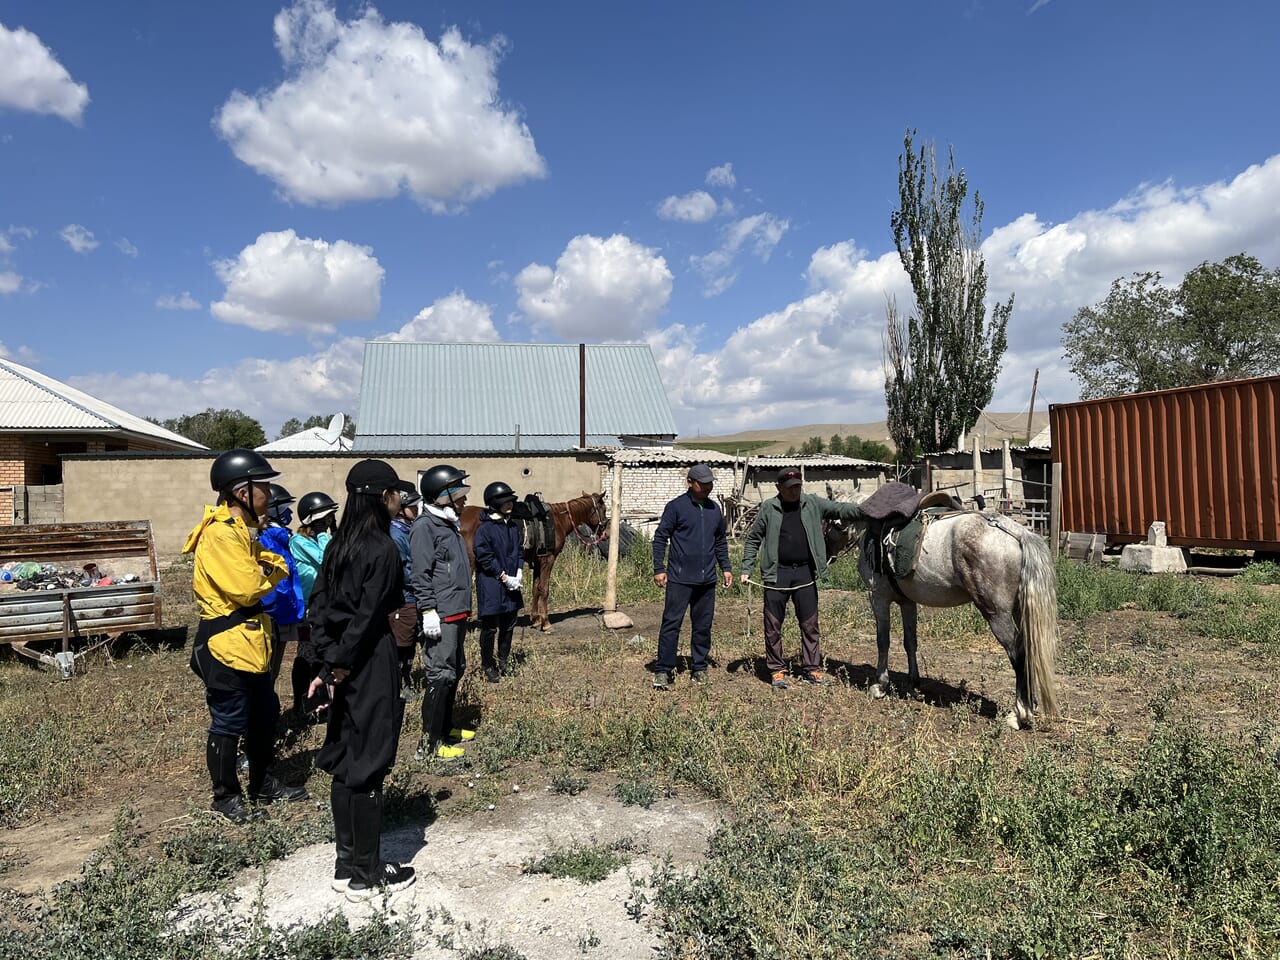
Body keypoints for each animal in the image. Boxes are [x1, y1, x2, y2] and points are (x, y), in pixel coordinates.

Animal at [458, 491, 606, 634]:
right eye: (604, 509)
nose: (605, 532)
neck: (559, 520)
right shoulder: (548, 559)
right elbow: (544, 589)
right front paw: (546, 623)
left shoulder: (538, 561)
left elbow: (536, 588)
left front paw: (535, 619)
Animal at [849, 512, 1059, 727]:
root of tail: (1018, 533)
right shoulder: (907, 602)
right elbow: (910, 642)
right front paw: (913, 683)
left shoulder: (877, 596)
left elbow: (883, 641)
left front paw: (880, 685)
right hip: (1020, 611)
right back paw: (1031, 706)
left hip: (998, 615)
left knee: (1019, 654)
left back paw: (1019, 714)